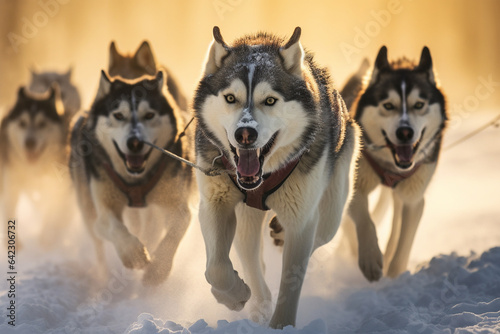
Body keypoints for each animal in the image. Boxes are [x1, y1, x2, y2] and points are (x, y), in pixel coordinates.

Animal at [0, 86, 73, 248]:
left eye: (42, 124)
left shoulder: (57, 185)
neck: (34, 169)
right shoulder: (11, 183)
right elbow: (9, 211)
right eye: (22, 123)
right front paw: (14, 243)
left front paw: (47, 238)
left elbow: (52, 212)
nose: (29, 142)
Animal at [69, 69, 194, 286]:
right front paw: (133, 254)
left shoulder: (177, 205)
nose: (135, 142)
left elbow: (175, 230)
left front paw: (159, 269)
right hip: (87, 208)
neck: (136, 181)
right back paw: (103, 275)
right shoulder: (104, 210)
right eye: (119, 115)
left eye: (149, 115)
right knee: (99, 246)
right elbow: (116, 228)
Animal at [193, 26, 362, 328]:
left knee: (318, 235)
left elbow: (292, 279)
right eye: (230, 98)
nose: (244, 133)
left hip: (330, 210)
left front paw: (281, 326)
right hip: (247, 218)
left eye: (270, 100)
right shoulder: (214, 203)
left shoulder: (302, 221)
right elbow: (216, 268)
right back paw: (258, 304)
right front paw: (234, 295)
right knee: (250, 256)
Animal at [342, 46, 448, 282]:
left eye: (419, 104)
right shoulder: (356, 184)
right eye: (388, 105)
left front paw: (394, 276)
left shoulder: (414, 197)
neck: (391, 167)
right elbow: (365, 220)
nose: (405, 132)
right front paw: (370, 259)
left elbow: (404, 241)